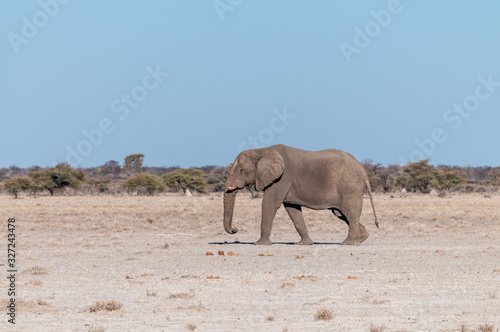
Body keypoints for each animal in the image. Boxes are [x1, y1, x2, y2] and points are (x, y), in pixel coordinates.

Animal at [224, 144, 378, 245]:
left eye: (241, 170)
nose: (235, 229)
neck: (261, 150)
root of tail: (363, 171)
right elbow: (292, 210)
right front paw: (305, 244)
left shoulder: (282, 178)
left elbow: (270, 203)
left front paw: (259, 244)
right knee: (341, 213)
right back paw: (362, 238)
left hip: (350, 187)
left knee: (350, 213)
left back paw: (349, 243)